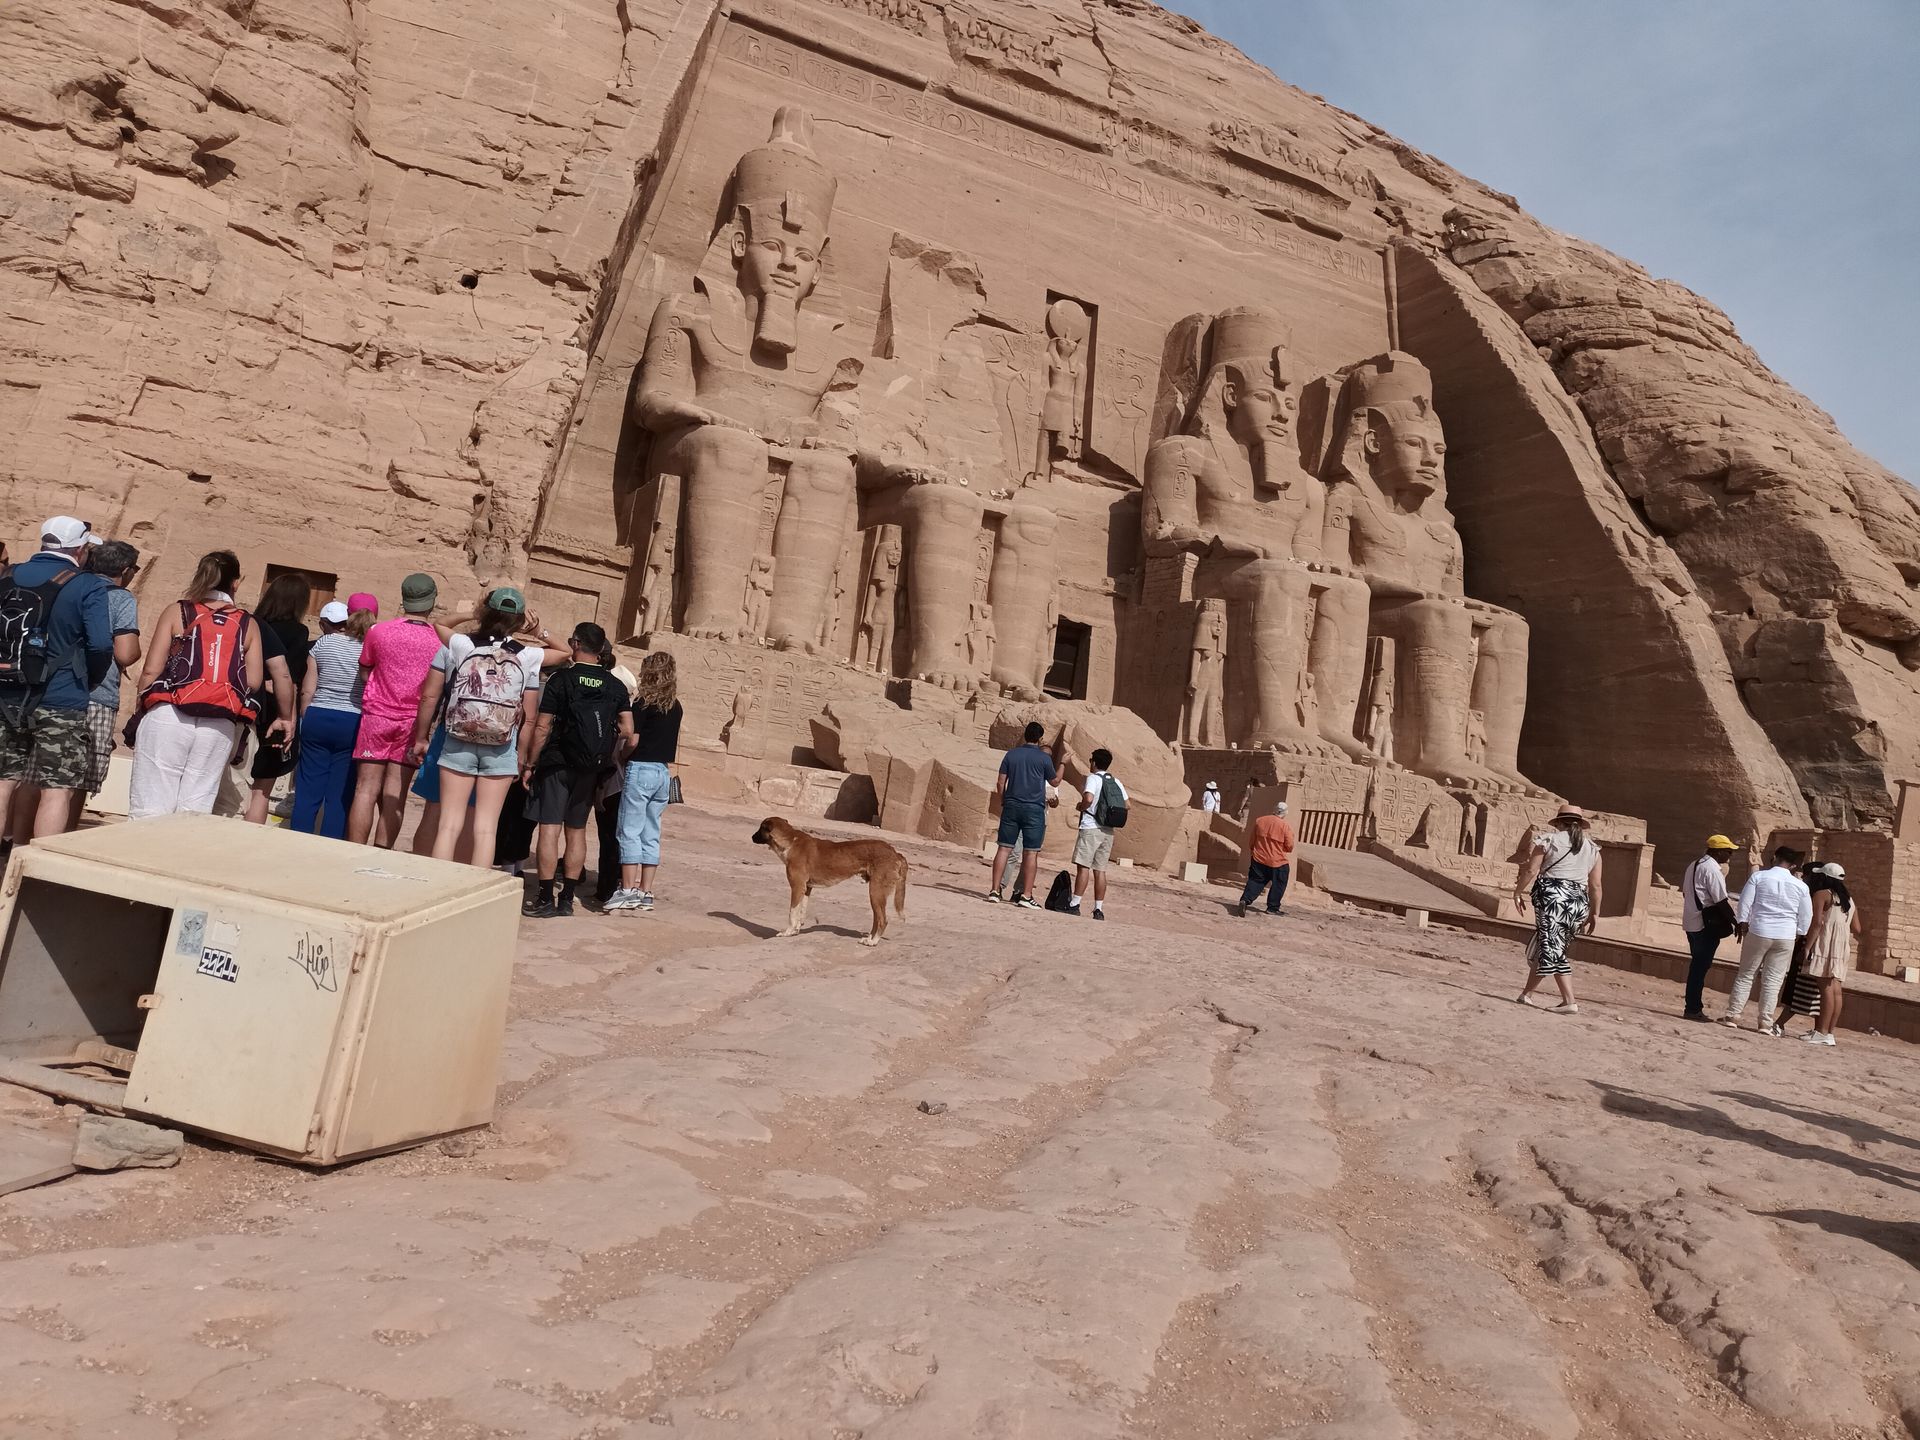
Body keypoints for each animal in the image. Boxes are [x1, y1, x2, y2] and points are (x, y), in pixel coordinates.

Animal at [751, 816, 908, 946]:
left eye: (760, 828)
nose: (751, 837)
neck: (790, 842)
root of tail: (896, 853)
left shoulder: (797, 887)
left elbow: (792, 912)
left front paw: (787, 932)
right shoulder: (806, 889)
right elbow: (801, 912)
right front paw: (795, 930)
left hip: (876, 892)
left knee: (882, 920)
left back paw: (873, 942)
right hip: (876, 893)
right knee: (876, 918)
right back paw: (869, 938)